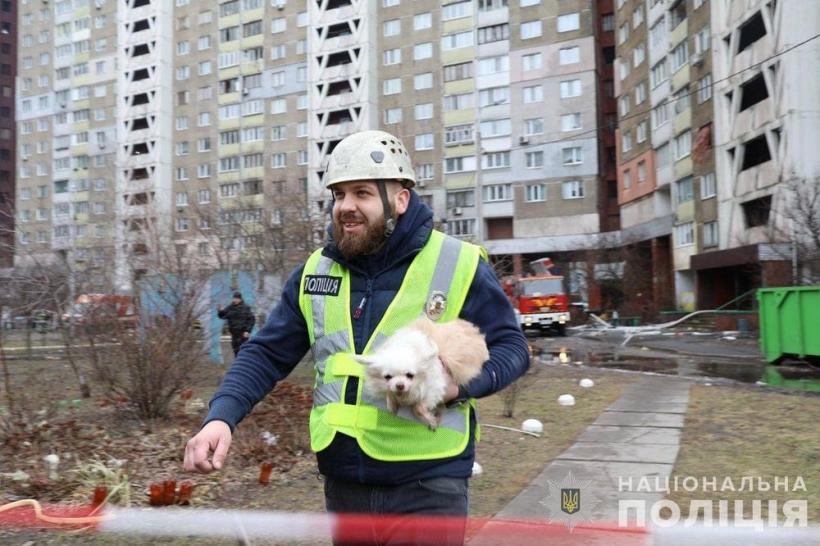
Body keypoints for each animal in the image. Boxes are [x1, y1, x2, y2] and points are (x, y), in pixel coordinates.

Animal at [358, 316, 486, 428]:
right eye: (388, 377)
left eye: (410, 375)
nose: (400, 385)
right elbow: (389, 392)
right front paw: (392, 404)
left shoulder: (434, 390)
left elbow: (418, 408)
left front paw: (430, 420)